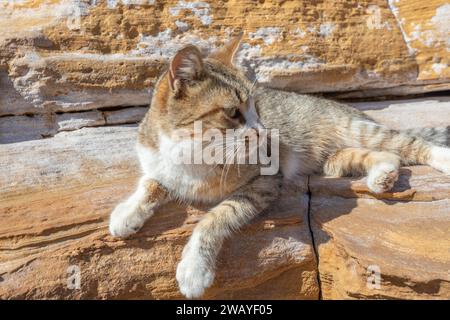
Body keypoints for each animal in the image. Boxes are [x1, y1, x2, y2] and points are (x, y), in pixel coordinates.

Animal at [110, 33, 450, 298]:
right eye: (233, 112)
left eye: (256, 108)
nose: (264, 131)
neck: (192, 154)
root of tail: (352, 110)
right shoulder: (159, 164)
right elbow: (150, 183)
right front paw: (126, 213)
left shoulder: (265, 180)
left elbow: (214, 218)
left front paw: (194, 268)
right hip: (337, 159)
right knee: (383, 156)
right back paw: (382, 175)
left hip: (360, 130)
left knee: (408, 144)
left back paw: (440, 158)